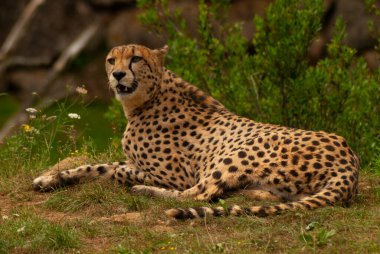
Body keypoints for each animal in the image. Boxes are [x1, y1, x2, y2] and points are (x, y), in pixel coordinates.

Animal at [32, 43, 360, 218]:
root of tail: (349, 159)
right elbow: (97, 166)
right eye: (112, 60)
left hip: (237, 152)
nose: (118, 74)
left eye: (135, 58)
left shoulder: (176, 175)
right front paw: (50, 179)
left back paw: (146, 192)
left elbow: (119, 171)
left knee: (201, 194)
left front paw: (134, 180)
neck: (148, 98)